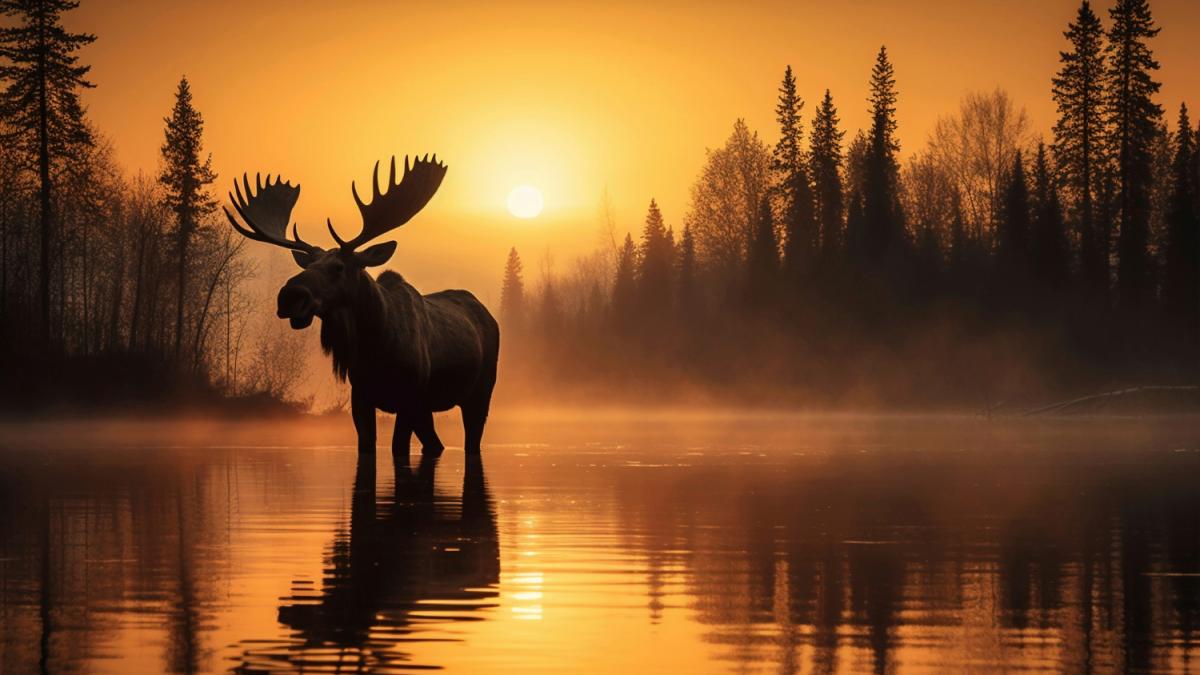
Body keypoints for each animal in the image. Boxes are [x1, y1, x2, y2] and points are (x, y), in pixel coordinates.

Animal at [224, 155, 499, 458]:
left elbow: (398, 447)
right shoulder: (362, 397)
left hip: (480, 392)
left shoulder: (410, 397)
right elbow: (367, 446)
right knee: (435, 444)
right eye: (307, 265)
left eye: (339, 267)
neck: (374, 347)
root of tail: (486, 313)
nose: (289, 296)